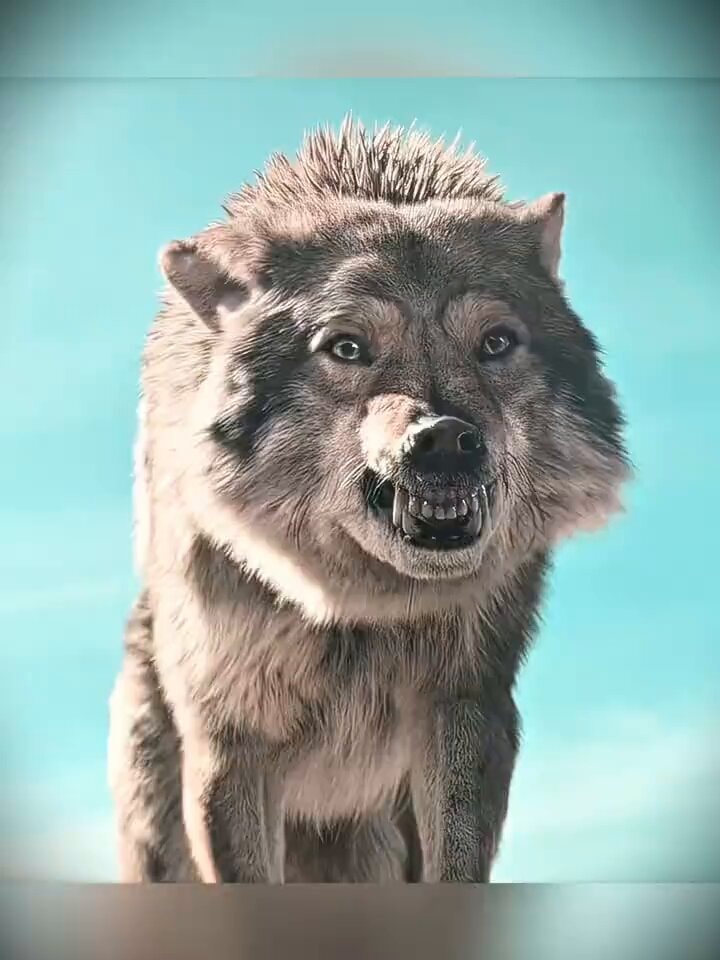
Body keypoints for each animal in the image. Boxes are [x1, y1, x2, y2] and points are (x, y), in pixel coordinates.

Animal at [108, 118, 630, 883]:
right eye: (348, 348)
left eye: (496, 342)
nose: (444, 441)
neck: (364, 607)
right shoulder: (230, 737)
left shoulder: (465, 708)